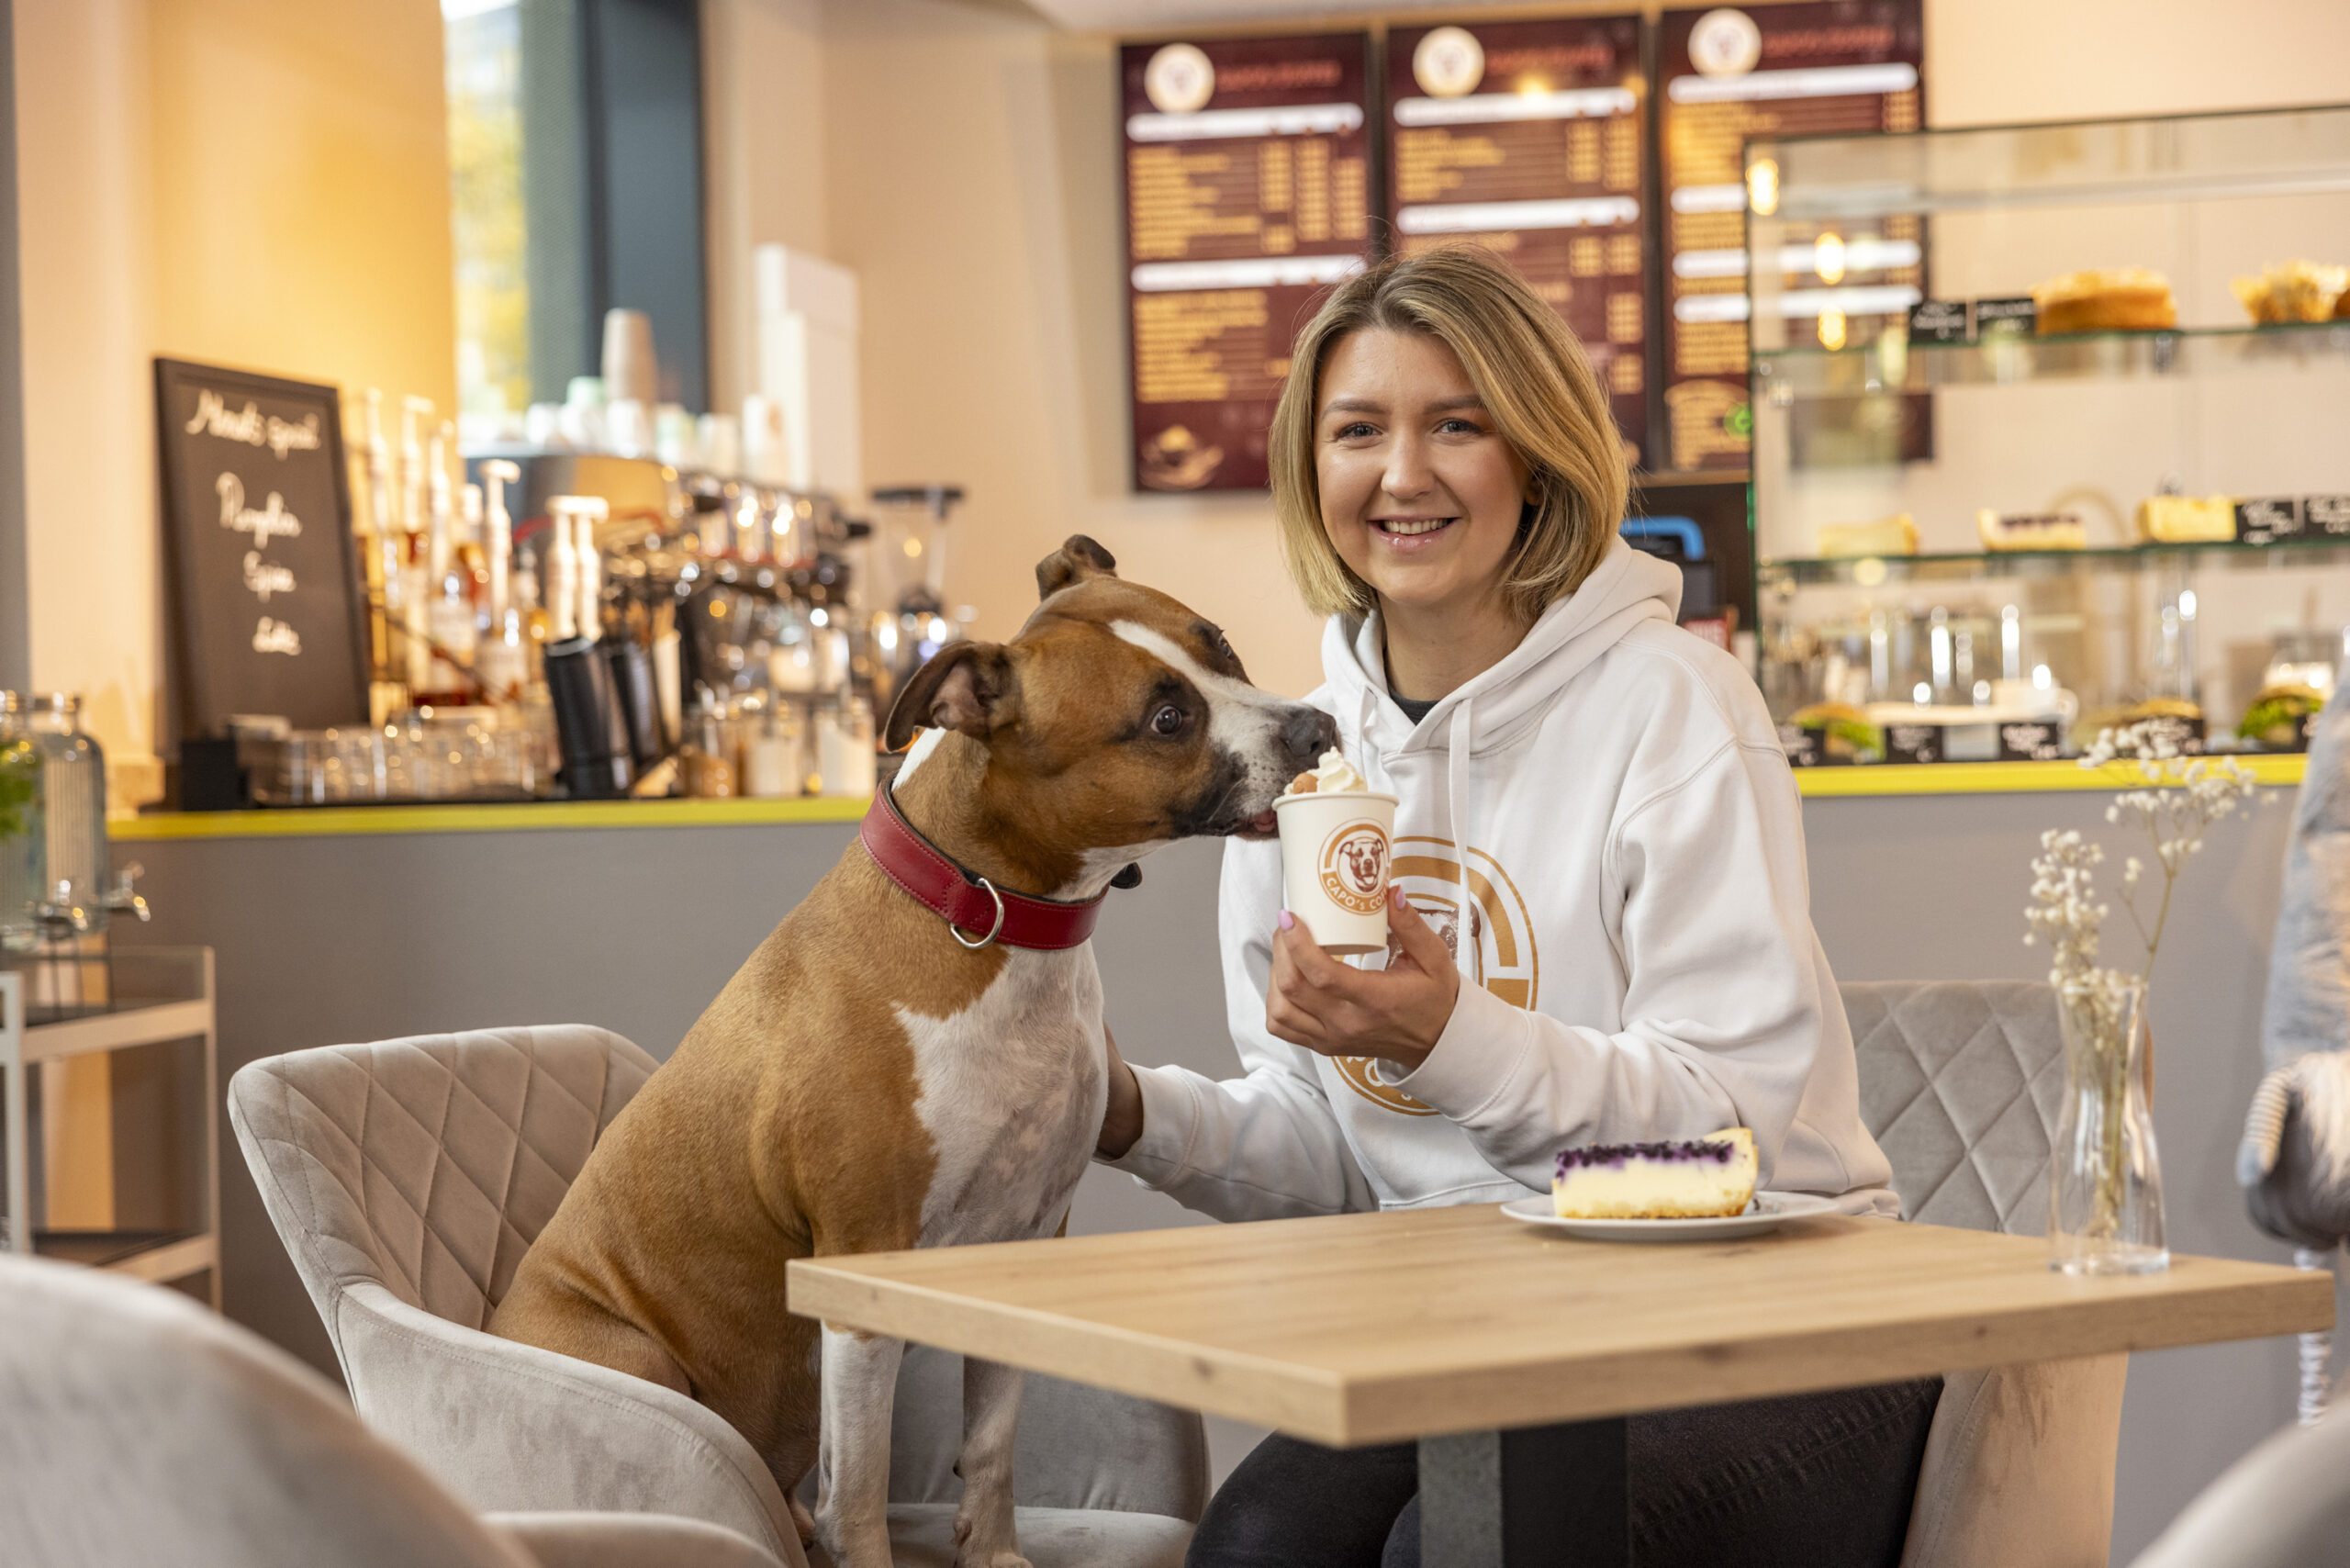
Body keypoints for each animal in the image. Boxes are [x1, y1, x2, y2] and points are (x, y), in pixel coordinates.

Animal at [491, 540, 1344, 1568]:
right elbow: (860, 1492)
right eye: (1165, 718)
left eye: (1218, 644)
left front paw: (994, 1554)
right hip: (636, 1357)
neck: (989, 916)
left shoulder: (1023, 1243)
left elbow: (992, 1443)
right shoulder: (864, 1273)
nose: (1319, 728)